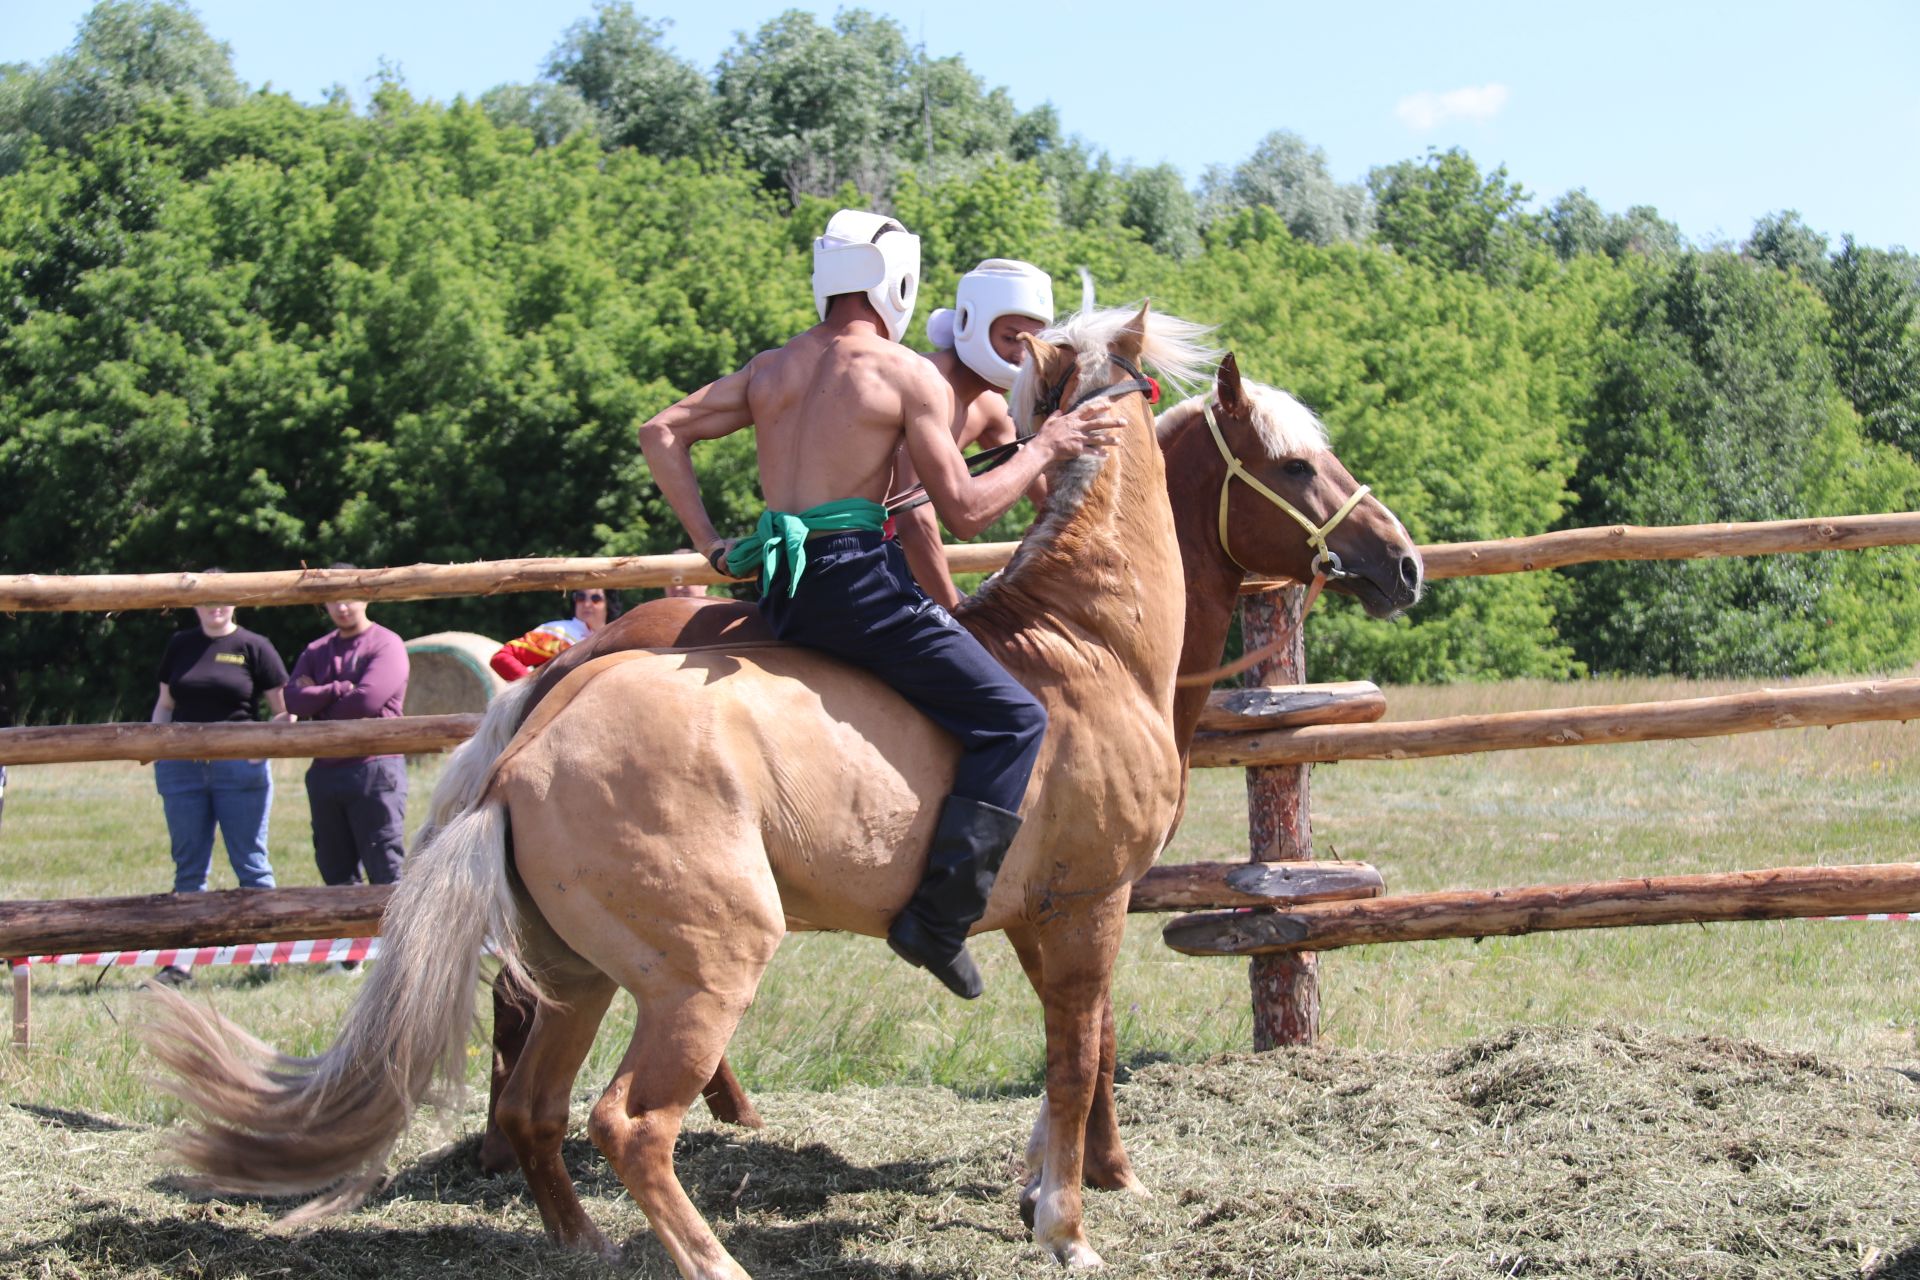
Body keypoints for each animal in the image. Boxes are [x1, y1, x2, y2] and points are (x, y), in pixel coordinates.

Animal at [149, 310, 1428, 1280]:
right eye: (1296, 462)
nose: (1404, 561)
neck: (1082, 641)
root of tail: (533, 738)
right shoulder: (1085, 907)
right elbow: (1081, 1056)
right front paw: (1070, 1213)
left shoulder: (1041, 917)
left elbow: (1075, 1051)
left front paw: (1044, 1190)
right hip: (706, 968)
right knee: (627, 1121)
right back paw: (707, 1253)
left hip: (580, 976)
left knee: (538, 1105)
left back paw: (584, 1241)